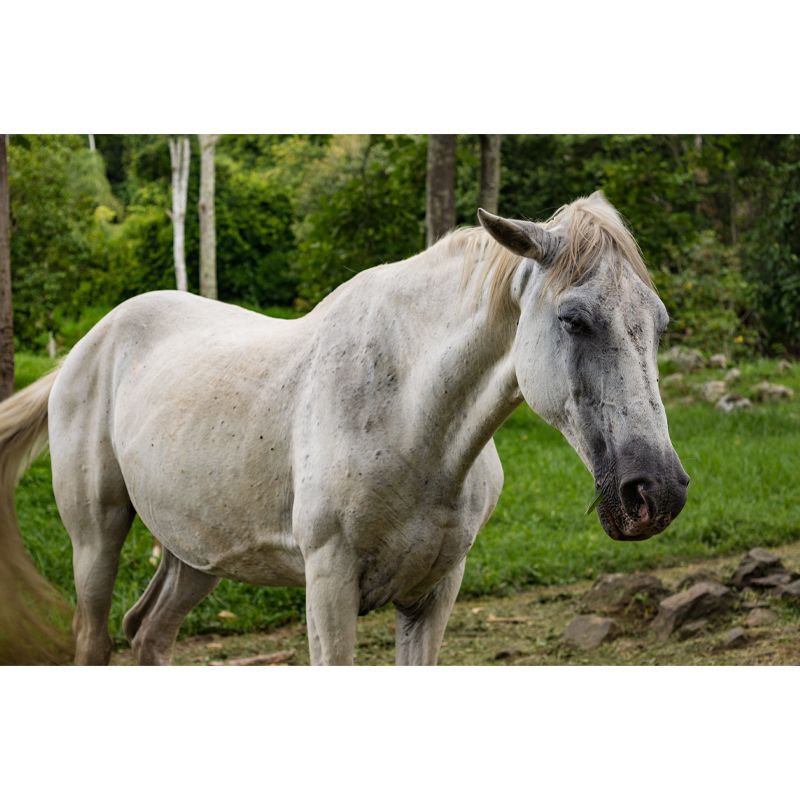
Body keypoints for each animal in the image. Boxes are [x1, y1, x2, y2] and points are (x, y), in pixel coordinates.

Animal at [0, 191, 689, 666]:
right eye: (574, 320)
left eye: (660, 324)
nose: (656, 492)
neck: (414, 424)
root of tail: (90, 344)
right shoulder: (329, 584)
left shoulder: (434, 594)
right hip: (96, 539)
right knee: (96, 638)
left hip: (196, 552)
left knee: (149, 632)